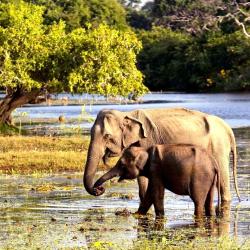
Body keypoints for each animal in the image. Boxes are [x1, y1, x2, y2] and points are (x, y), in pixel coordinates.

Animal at [82, 108, 240, 203]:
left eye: (107, 136)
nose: (99, 189)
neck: (127, 114)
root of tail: (228, 129)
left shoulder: (148, 140)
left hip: (219, 146)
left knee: (223, 180)